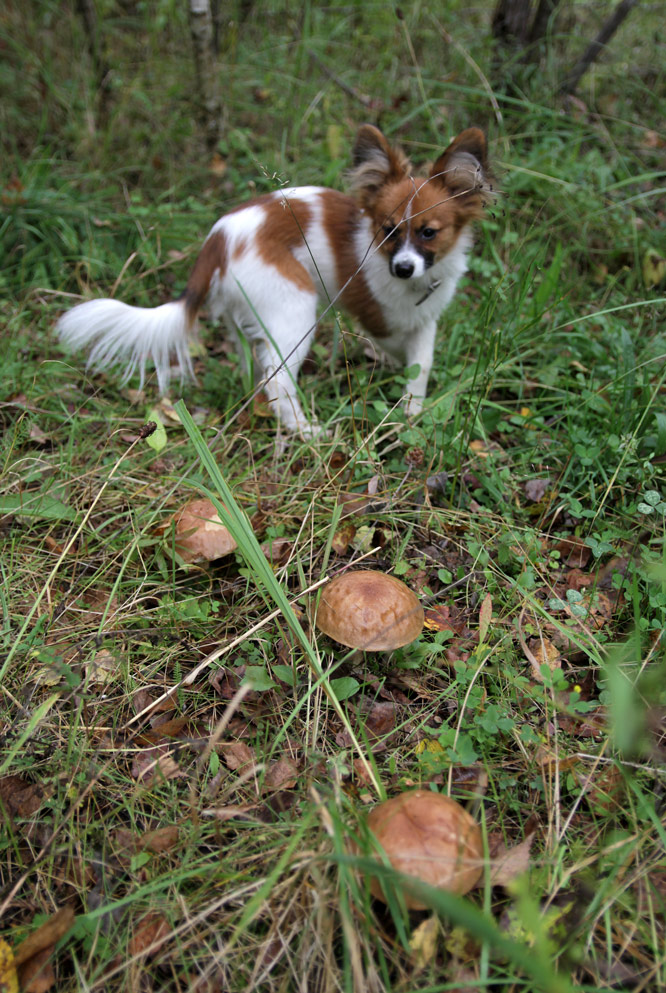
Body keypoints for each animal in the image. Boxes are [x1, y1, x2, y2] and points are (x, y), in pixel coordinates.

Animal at [57, 124, 490, 434]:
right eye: (388, 231)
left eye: (428, 233)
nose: (402, 267)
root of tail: (218, 239)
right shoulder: (378, 315)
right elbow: (400, 348)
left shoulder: (425, 320)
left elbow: (422, 363)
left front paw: (412, 409)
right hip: (294, 309)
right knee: (277, 382)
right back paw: (307, 431)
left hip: (243, 316)